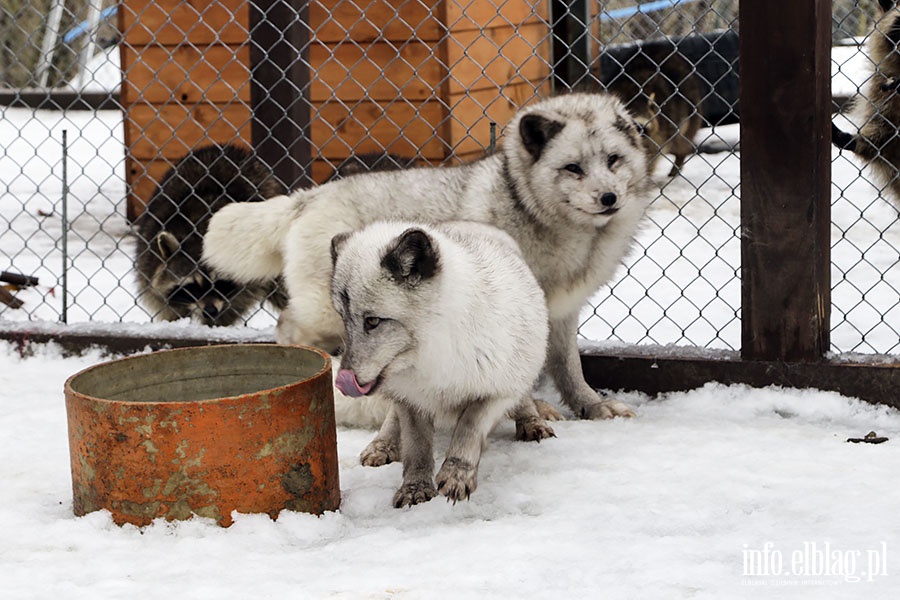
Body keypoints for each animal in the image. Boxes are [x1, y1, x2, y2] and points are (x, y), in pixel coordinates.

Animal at [133, 143, 288, 326]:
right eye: (192, 286)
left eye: (220, 283)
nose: (210, 311)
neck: (198, 231)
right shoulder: (149, 256)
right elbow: (163, 302)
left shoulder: (247, 276)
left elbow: (238, 301)